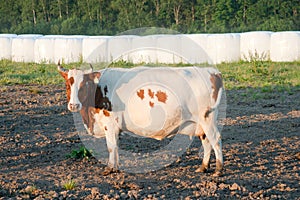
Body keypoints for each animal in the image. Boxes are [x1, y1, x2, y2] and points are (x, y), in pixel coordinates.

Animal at [57, 62, 224, 177]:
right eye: (68, 85)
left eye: (83, 85)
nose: (73, 105)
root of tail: (212, 72)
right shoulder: (116, 127)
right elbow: (116, 146)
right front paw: (116, 167)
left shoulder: (109, 124)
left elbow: (111, 146)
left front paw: (109, 168)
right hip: (201, 124)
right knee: (206, 141)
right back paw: (203, 167)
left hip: (207, 119)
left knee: (215, 139)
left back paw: (218, 169)